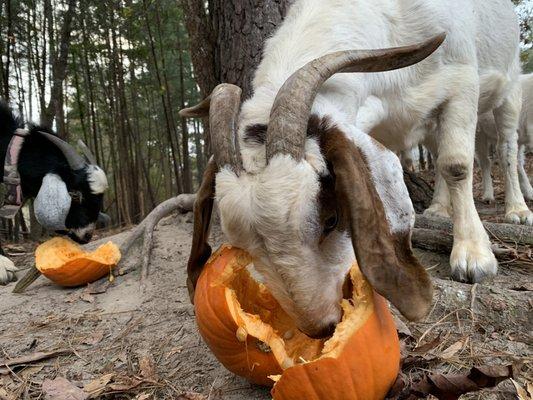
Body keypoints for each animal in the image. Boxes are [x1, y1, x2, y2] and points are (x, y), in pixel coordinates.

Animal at [181, 0, 520, 338]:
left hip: (509, 87)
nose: (320, 328)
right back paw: (438, 208)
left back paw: (517, 210)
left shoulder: (462, 80)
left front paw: (474, 257)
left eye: (331, 220)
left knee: (506, 149)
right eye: (244, 247)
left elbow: (456, 165)